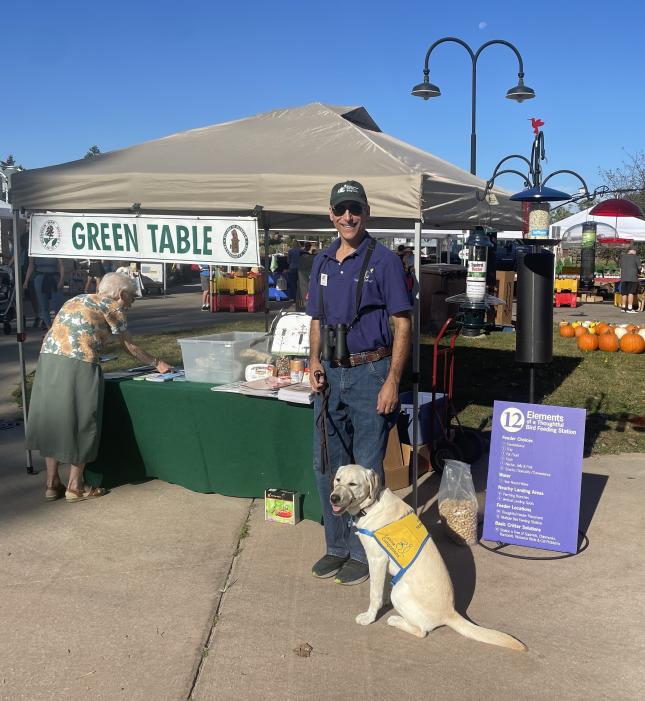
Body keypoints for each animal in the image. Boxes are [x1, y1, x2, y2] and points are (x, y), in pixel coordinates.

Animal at [330, 464, 524, 652]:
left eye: (353, 484)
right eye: (337, 480)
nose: (333, 498)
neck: (371, 505)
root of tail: (450, 613)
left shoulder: (376, 559)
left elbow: (374, 594)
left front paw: (369, 617)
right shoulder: (382, 562)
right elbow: (382, 586)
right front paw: (383, 602)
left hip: (399, 591)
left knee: (421, 631)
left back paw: (395, 620)